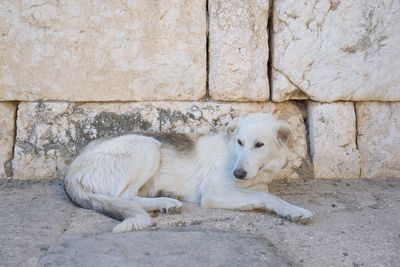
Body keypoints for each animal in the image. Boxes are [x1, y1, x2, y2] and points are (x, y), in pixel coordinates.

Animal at [64, 112, 312, 233]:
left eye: (259, 145)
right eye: (240, 142)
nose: (238, 174)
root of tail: (71, 169)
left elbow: (261, 190)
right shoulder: (213, 194)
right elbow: (266, 196)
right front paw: (294, 211)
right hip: (148, 147)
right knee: (124, 197)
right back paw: (166, 202)